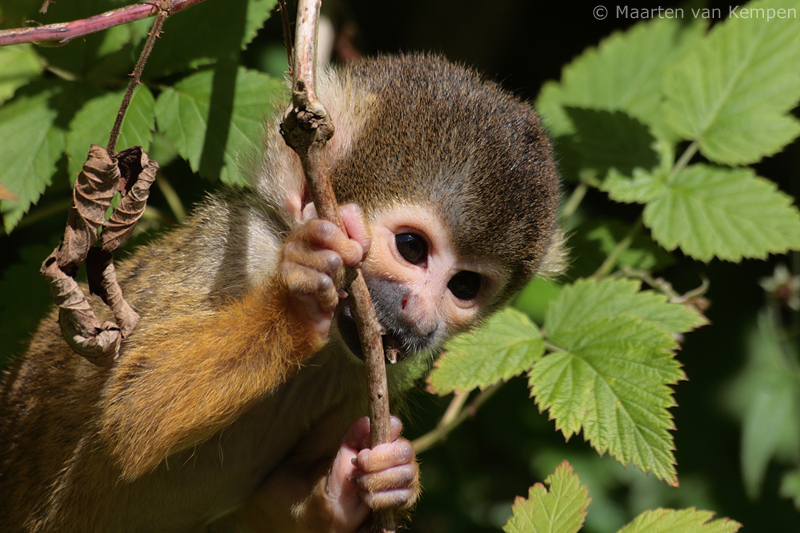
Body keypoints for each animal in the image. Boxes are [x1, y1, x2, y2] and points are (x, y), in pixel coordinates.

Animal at [0, 55, 560, 532]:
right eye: (411, 247)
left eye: (464, 286)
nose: (421, 317)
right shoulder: (236, 248)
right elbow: (135, 408)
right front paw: (300, 296)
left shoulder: (365, 380)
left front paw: (372, 483)